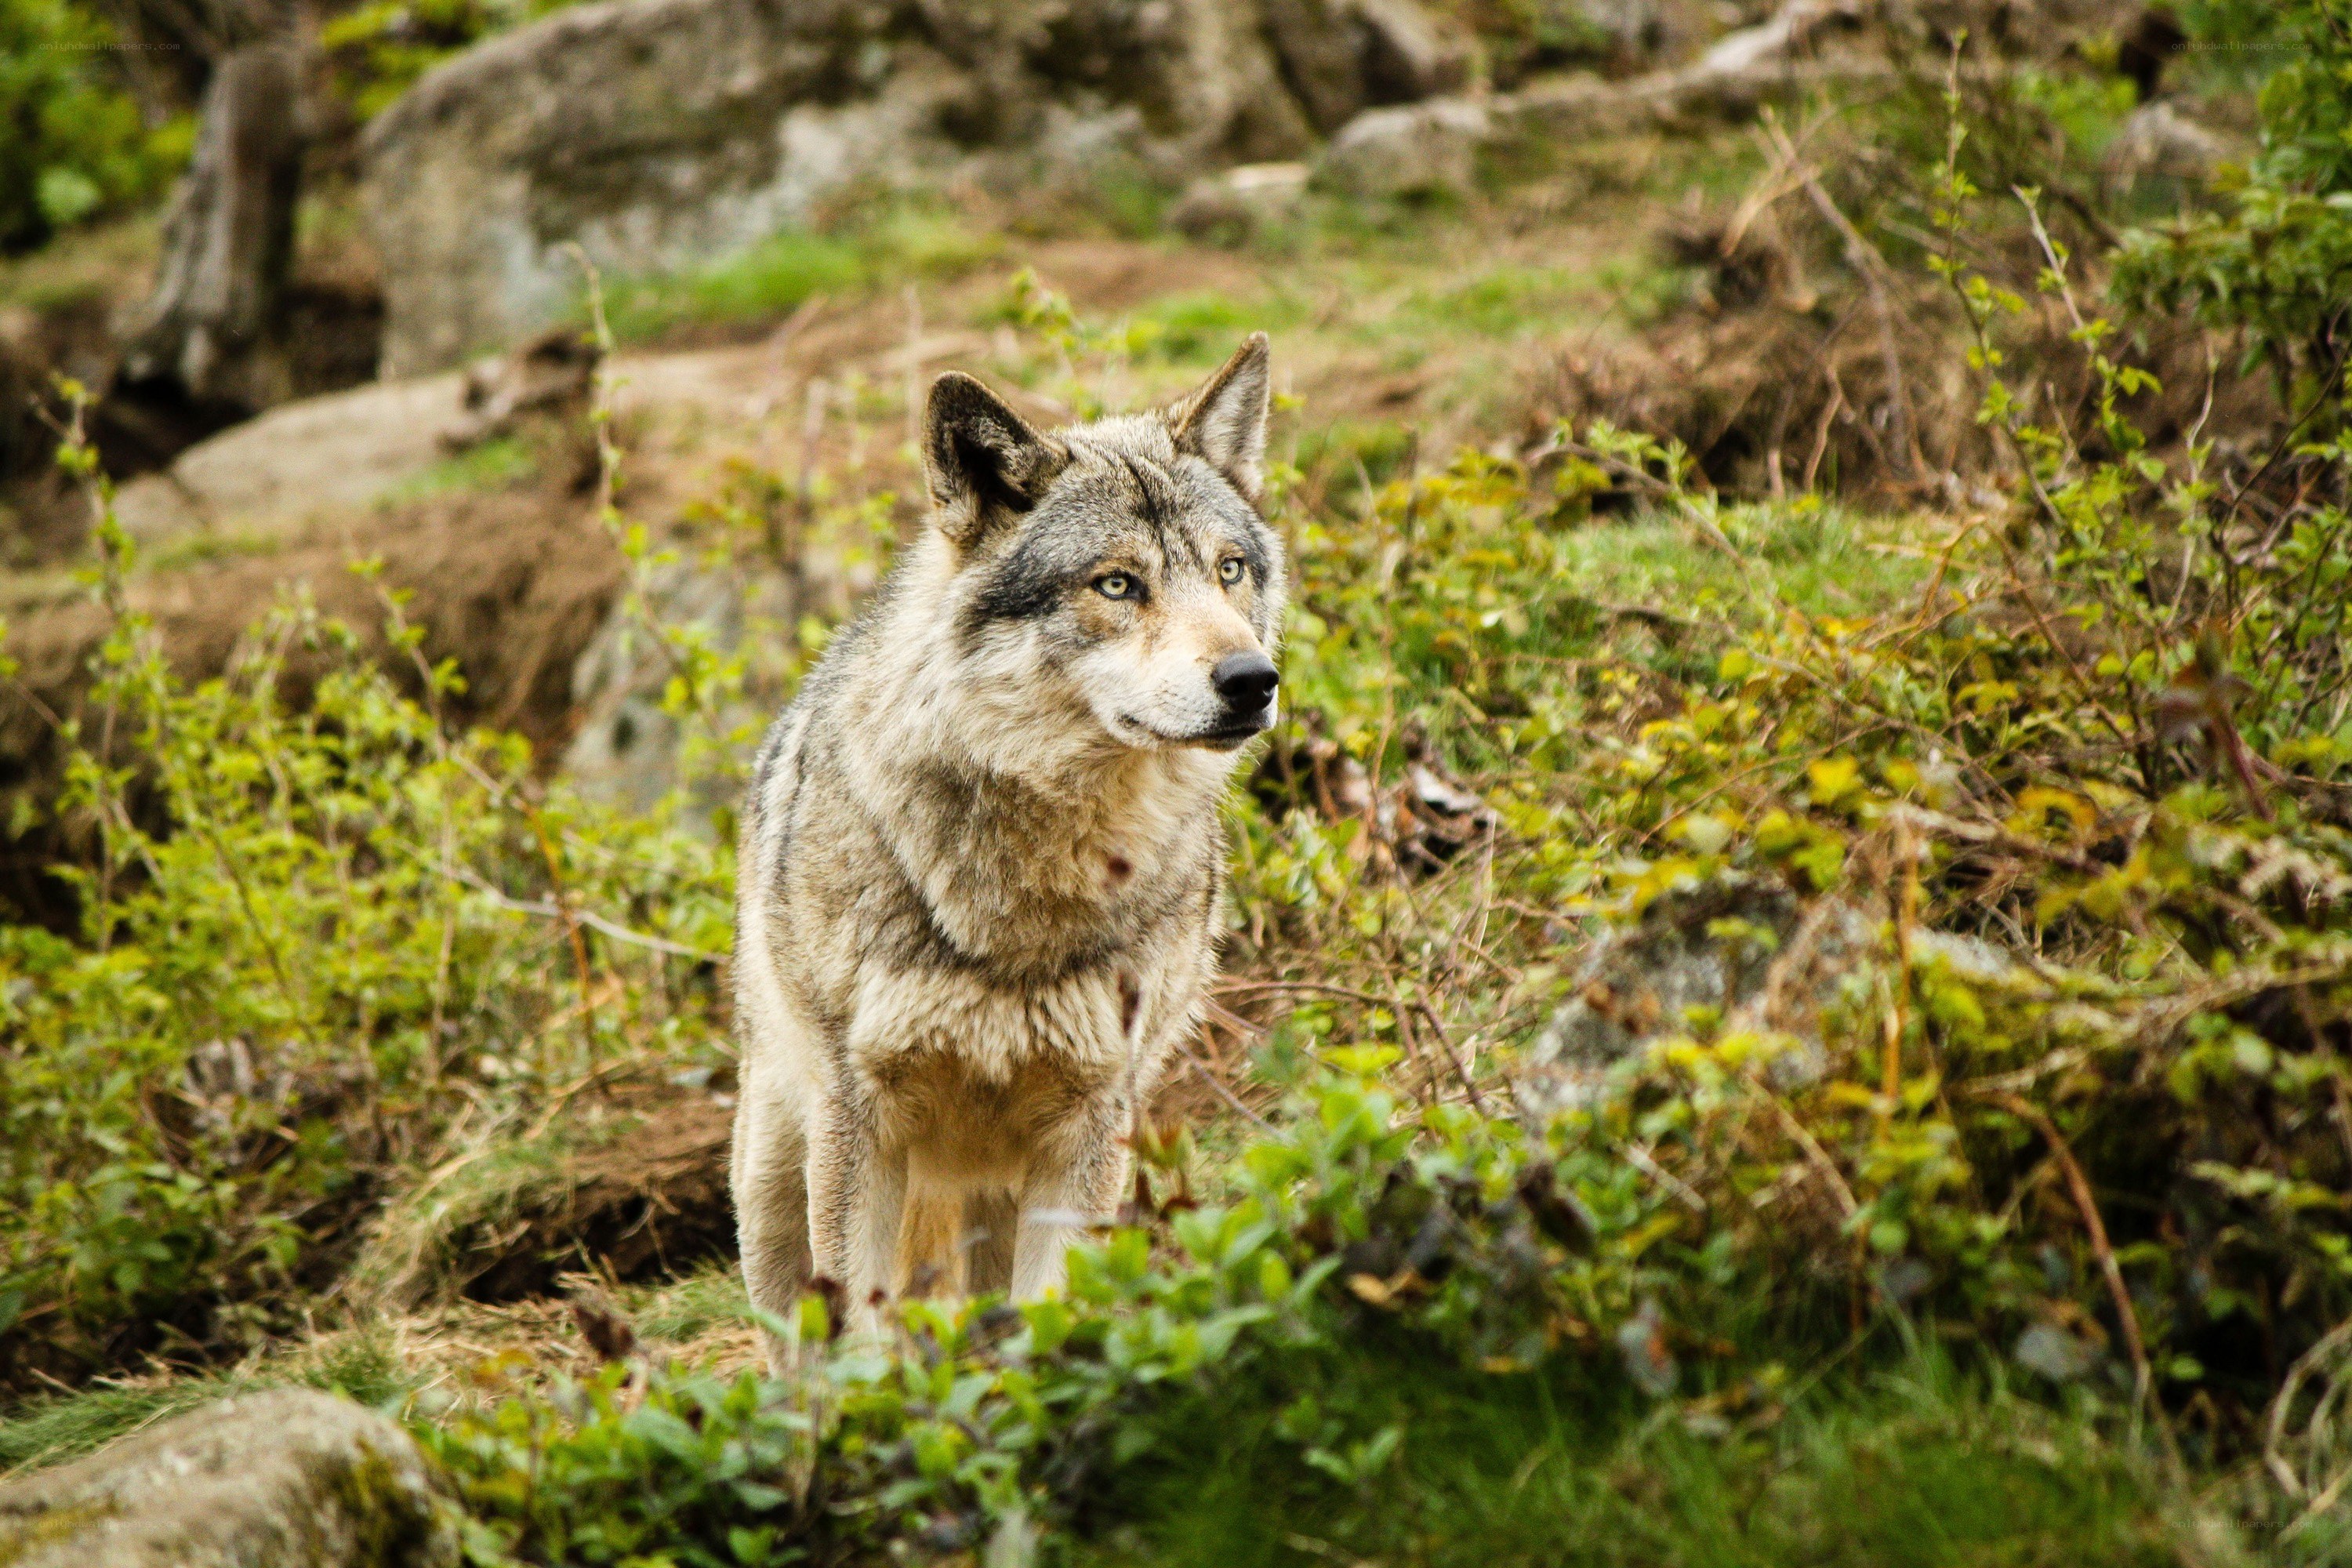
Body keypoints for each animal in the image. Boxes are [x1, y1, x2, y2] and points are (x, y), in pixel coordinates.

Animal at [729, 334, 1283, 1362]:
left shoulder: (1089, 1127)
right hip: (777, 1182)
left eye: (1229, 570)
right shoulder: (861, 1122)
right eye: (1117, 583)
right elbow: (865, 1341)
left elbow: (1051, 1317)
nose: (1251, 679)